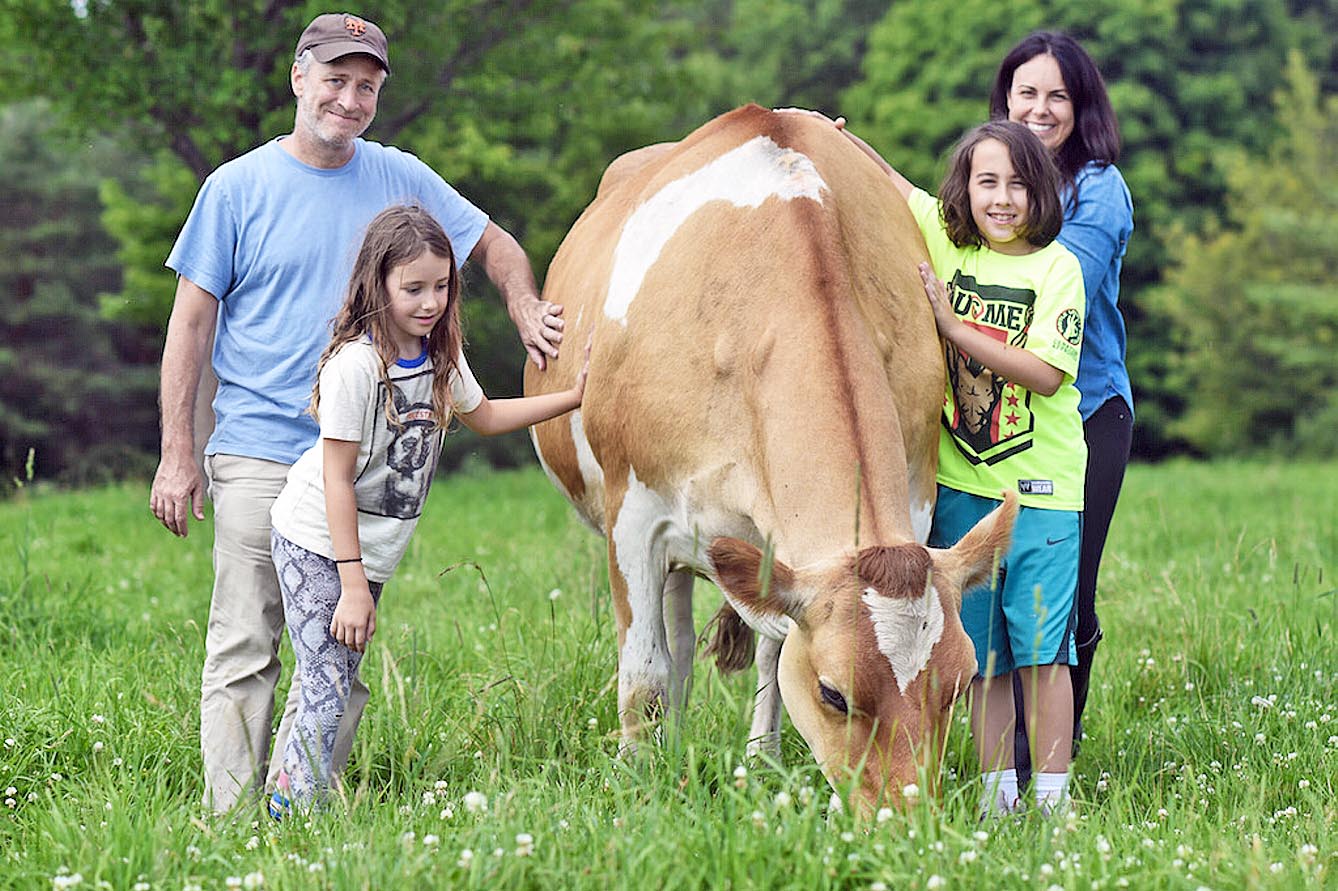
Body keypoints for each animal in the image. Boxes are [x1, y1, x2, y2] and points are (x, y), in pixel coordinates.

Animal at [521, 105, 1011, 813]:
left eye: (961, 683)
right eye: (834, 693)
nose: (906, 820)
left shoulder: (905, 507)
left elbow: (774, 659)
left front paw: (763, 764)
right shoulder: (634, 516)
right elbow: (644, 673)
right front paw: (640, 779)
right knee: (673, 652)